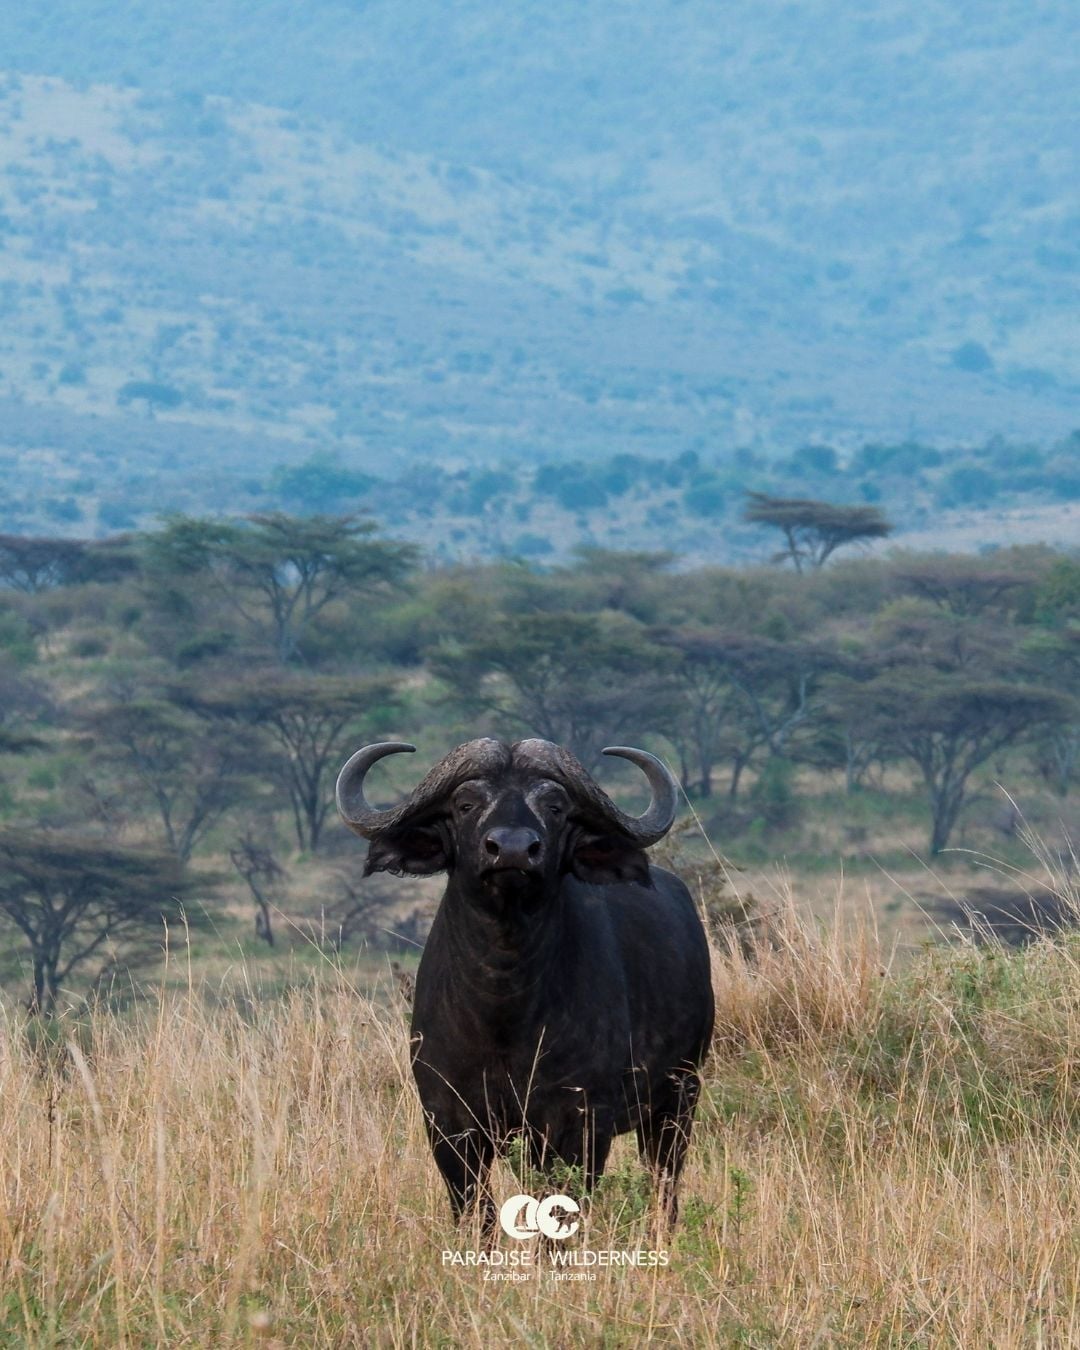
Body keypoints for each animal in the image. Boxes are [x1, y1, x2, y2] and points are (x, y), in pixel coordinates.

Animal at [337, 737, 714, 1231]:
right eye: (465, 804)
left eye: (555, 806)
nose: (513, 850)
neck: (504, 1005)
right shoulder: (448, 1123)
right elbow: (476, 1213)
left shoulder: (578, 1123)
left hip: (678, 1099)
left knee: (664, 1184)